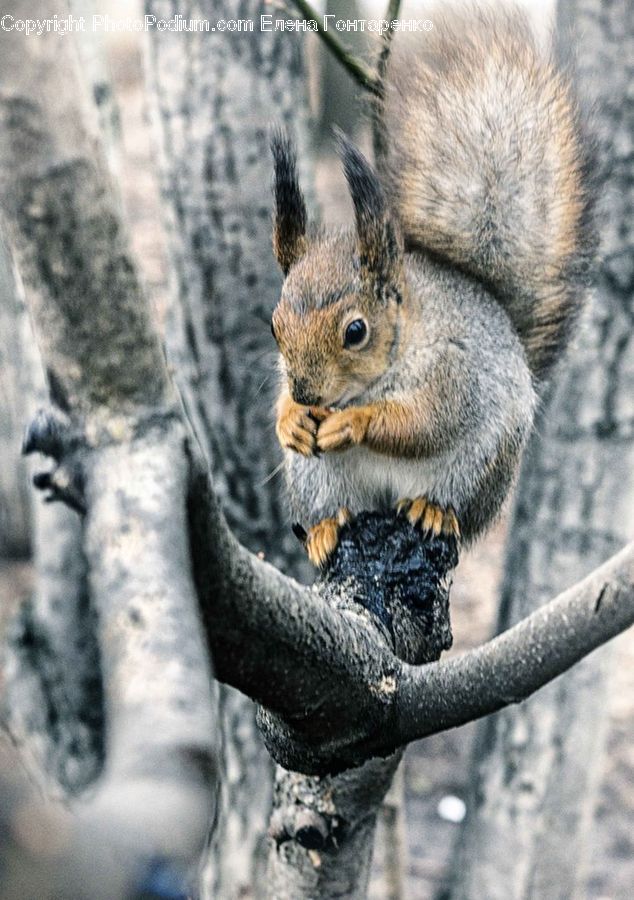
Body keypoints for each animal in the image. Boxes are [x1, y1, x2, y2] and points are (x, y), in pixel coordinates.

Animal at [269, 4, 595, 568]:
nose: (306, 393)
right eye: (274, 327)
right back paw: (326, 528)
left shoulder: (454, 369)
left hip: (479, 468)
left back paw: (433, 511)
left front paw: (355, 424)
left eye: (355, 331)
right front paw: (290, 418)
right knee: (333, 506)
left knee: (454, 507)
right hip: (316, 477)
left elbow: (425, 423)